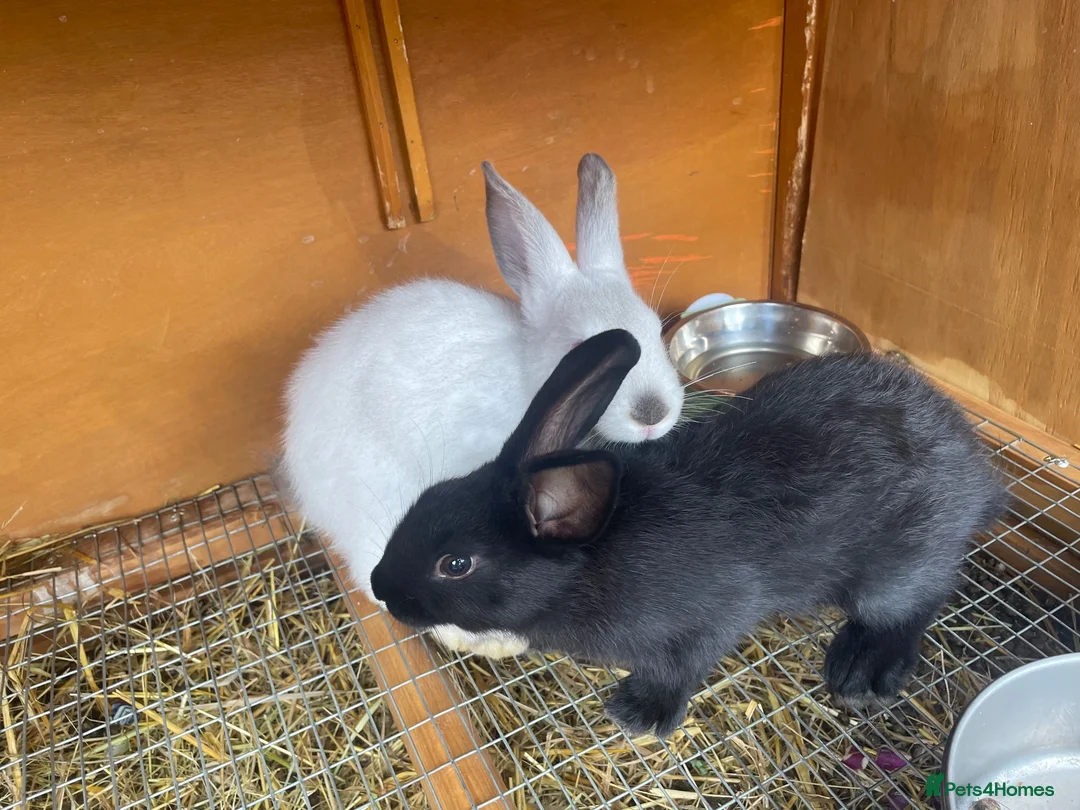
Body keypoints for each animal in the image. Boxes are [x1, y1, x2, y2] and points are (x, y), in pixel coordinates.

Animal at [369, 329, 1009, 738]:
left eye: (456, 565)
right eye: (426, 499)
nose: (379, 588)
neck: (587, 566)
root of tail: (979, 476)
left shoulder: (712, 616)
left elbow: (680, 667)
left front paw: (638, 715)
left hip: (898, 566)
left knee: (913, 605)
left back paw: (860, 671)